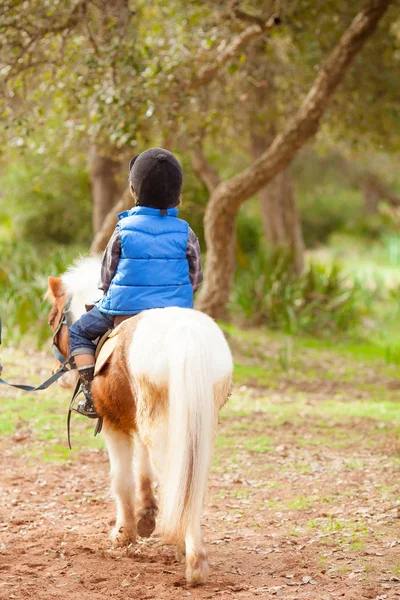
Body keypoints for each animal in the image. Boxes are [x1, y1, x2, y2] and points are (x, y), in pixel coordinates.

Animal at [45, 255, 233, 584]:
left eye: (54, 319)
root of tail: (185, 337)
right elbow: (144, 470)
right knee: (191, 481)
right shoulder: (139, 420)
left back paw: (191, 556)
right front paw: (147, 514)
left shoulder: (112, 425)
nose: (62, 378)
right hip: (196, 425)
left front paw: (124, 534)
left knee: (173, 475)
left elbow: (122, 479)